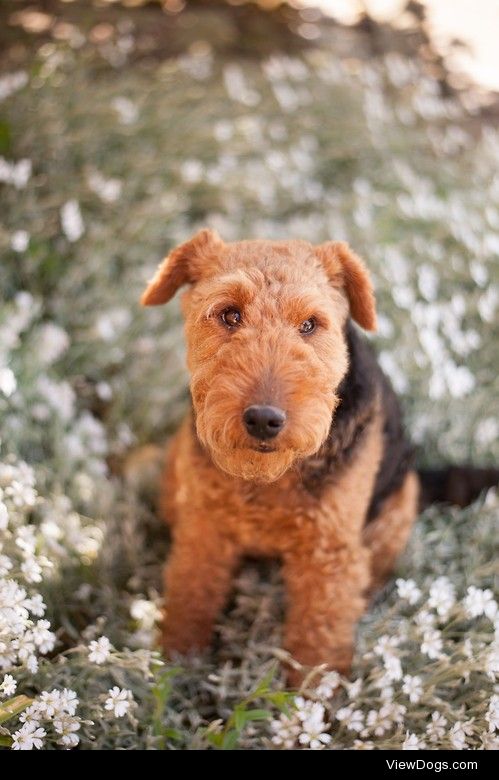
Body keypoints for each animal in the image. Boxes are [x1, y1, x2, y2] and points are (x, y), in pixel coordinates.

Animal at [140, 227, 422, 684]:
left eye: (310, 324)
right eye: (229, 314)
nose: (263, 419)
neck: (268, 478)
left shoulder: (328, 552)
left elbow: (318, 637)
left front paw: (314, 697)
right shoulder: (204, 526)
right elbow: (191, 594)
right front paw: (175, 669)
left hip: (400, 504)